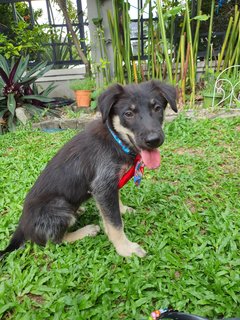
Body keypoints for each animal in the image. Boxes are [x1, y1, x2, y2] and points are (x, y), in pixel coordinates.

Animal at [0, 79, 177, 258]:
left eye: (157, 108)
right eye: (128, 114)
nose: (154, 140)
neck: (116, 140)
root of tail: (22, 228)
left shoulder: (109, 186)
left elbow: (115, 206)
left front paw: (122, 210)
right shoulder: (103, 186)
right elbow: (115, 224)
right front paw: (125, 248)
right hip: (59, 206)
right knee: (55, 241)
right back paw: (87, 230)